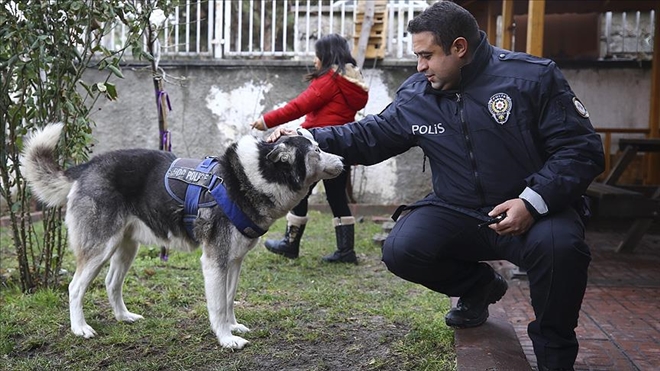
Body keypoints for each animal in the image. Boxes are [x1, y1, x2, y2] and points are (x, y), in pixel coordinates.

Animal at [21, 123, 340, 350]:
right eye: (315, 150)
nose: (342, 158)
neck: (253, 176)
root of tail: (87, 166)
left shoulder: (234, 261)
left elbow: (229, 300)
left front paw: (233, 327)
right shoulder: (213, 261)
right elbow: (217, 306)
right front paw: (226, 339)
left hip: (126, 247)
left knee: (112, 283)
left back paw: (124, 317)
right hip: (100, 247)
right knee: (75, 287)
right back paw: (80, 328)